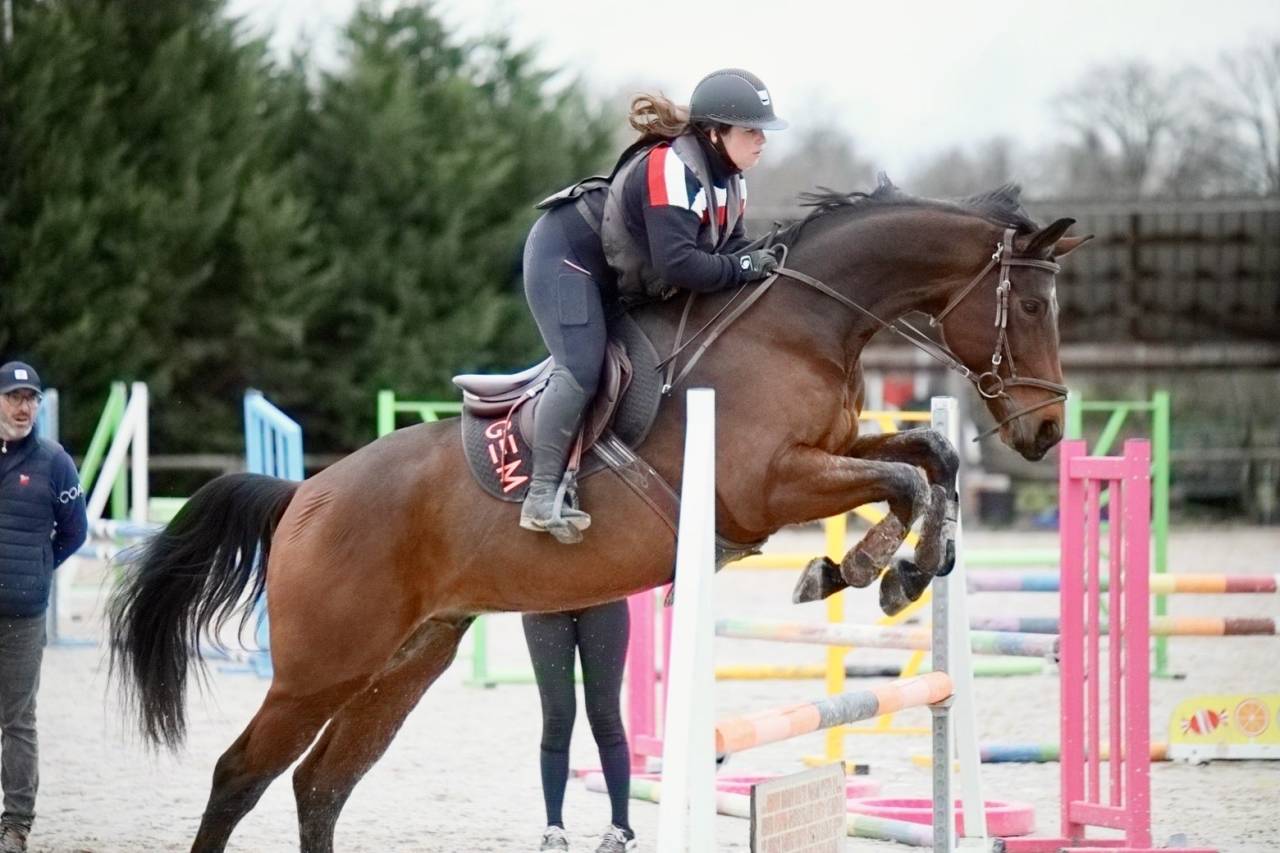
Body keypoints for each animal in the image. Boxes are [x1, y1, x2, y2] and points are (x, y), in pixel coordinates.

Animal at [108, 178, 1090, 852]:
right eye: (1031, 304)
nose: (1046, 430)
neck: (803, 323)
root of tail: (304, 496)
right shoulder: (771, 486)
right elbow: (905, 480)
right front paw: (869, 570)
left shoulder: (833, 451)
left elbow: (932, 456)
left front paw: (905, 566)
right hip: (321, 666)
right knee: (242, 773)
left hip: (405, 660)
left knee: (321, 781)